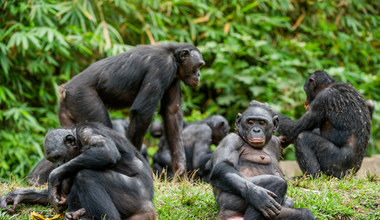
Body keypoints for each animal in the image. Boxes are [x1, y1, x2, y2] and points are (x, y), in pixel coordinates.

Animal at [0, 124, 157, 220]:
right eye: (52, 159)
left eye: (57, 156)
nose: (57, 164)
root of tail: (149, 203)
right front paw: (15, 196)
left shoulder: (86, 132)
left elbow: (106, 150)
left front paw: (53, 176)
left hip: (135, 195)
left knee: (85, 175)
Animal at [28, 42, 205, 185]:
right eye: (198, 66)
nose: (199, 75)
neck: (173, 56)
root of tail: (64, 90)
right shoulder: (161, 67)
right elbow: (142, 112)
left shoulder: (174, 79)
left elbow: (172, 114)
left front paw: (180, 173)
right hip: (83, 98)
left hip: (66, 111)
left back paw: (35, 179)